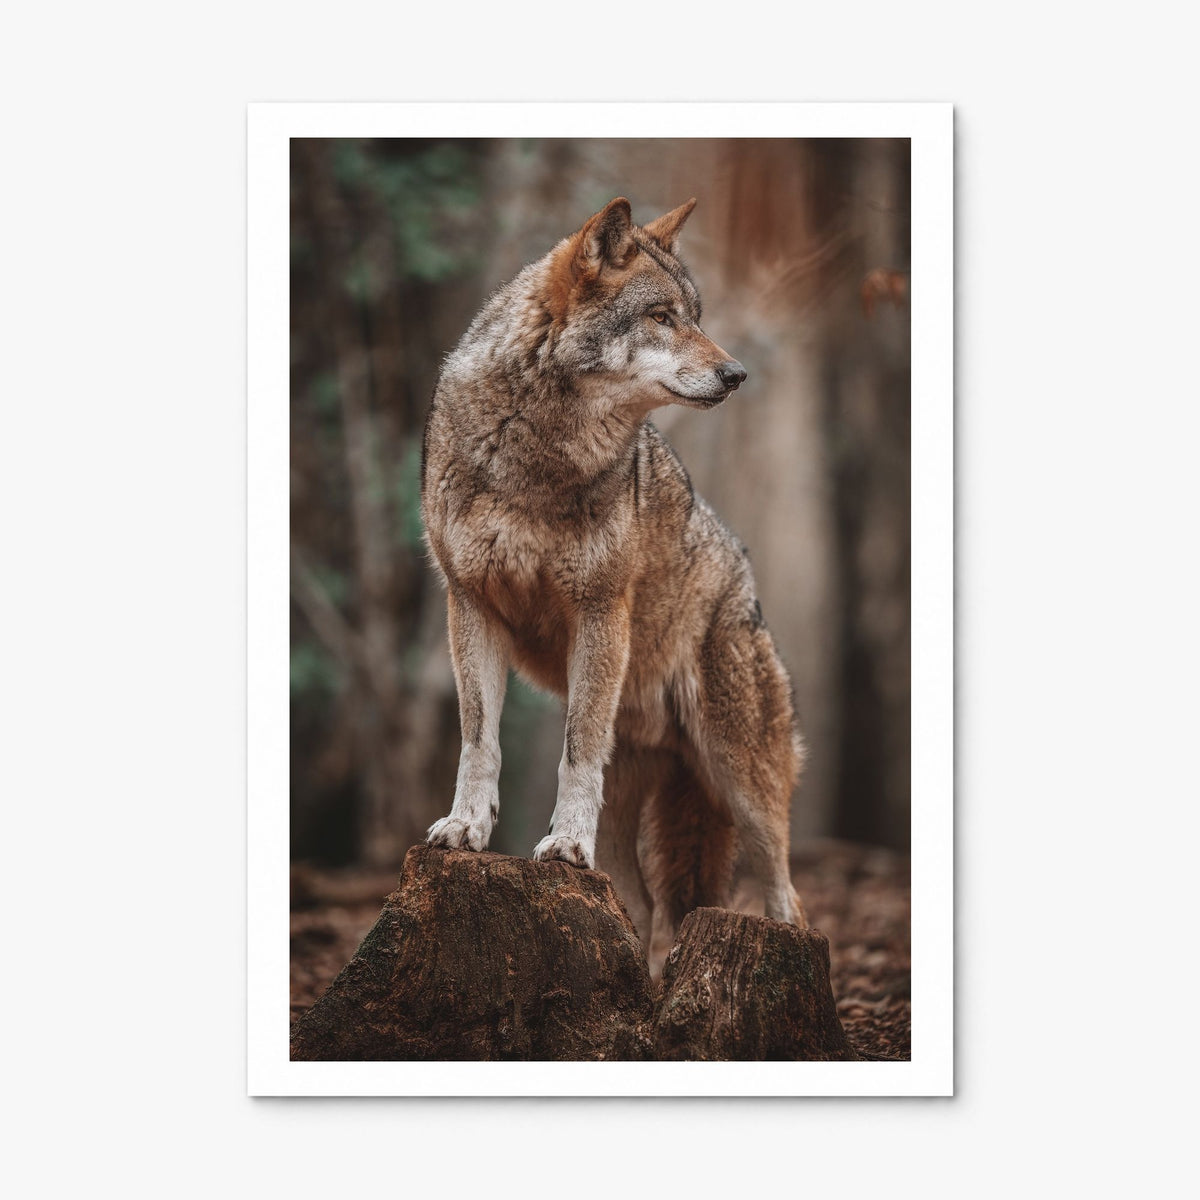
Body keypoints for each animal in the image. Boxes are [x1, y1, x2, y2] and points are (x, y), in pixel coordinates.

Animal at [421, 197, 807, 965]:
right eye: (661, 315)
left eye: (695, 314)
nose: (737, 374)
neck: (536, 451)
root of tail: (746, 582)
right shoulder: (470, 604)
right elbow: (479, 739)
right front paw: (466, 828)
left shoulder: (598, 609)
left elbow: (575, 748)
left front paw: (566, 844)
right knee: (648, 909)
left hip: (740, 777)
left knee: (786, 891)